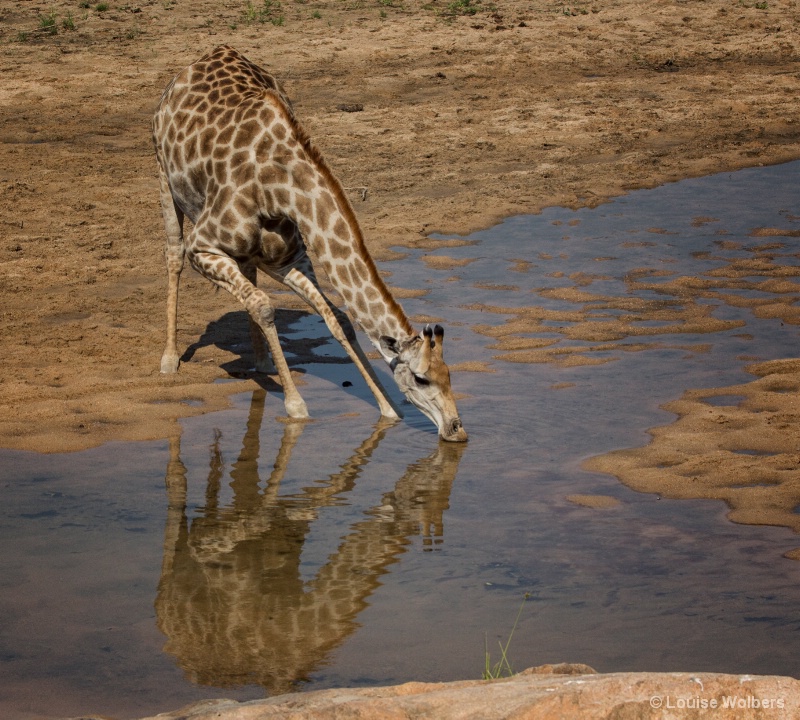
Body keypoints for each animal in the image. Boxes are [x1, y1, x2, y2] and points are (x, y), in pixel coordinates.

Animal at [152, 47, 468, 442]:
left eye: (450, 374)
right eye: (422, 378)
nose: (457, 429)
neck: (279, 189)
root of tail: (203, 59)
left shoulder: (289, 259)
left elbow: (337, 319)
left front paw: (388, 411)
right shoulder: (203, 246)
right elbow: (265, 306)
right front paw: (296, 407)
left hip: (251, 252)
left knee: (247, 275)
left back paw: (261, 359)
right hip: (163, 175)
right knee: (173, 254)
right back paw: (169, 360)